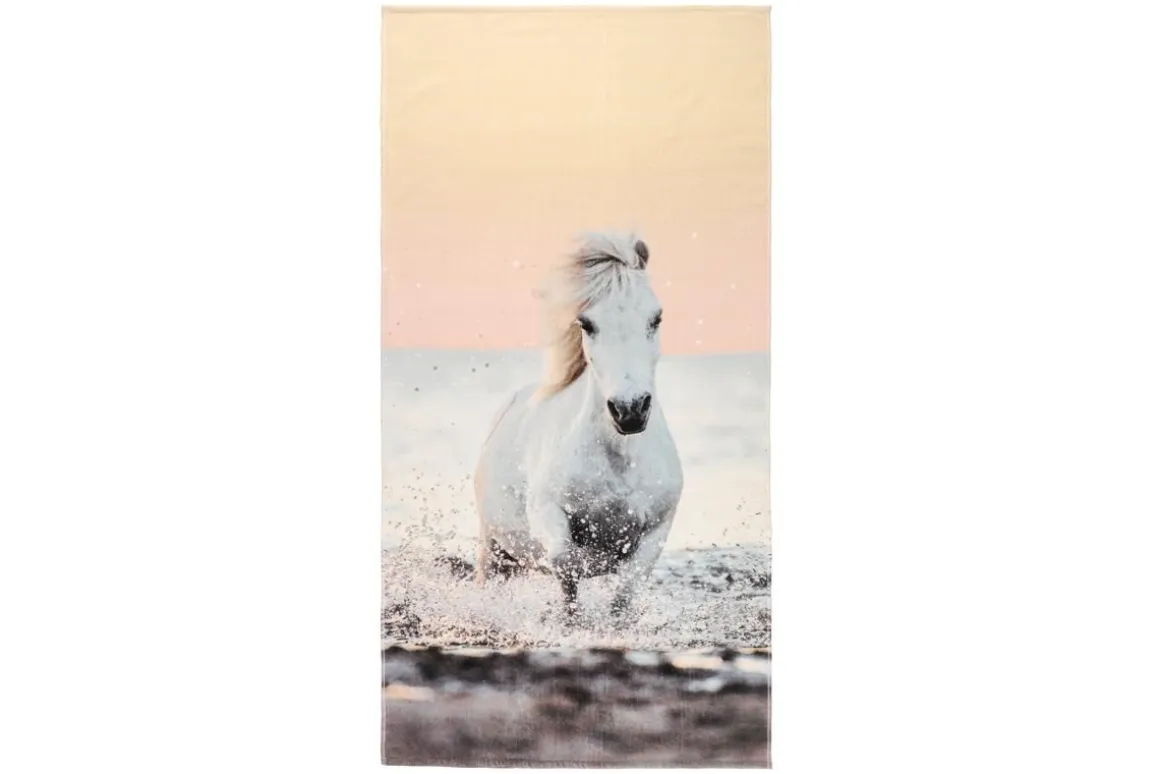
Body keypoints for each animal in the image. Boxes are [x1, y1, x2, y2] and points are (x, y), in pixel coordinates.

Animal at [472, 232, 684, 620]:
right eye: (586, 324)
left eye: (656, 318)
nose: (630, 410)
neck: (619, 461)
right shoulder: (547, 512)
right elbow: (567, 562)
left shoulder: (656, 531)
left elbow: (623, 594)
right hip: (492, 546)